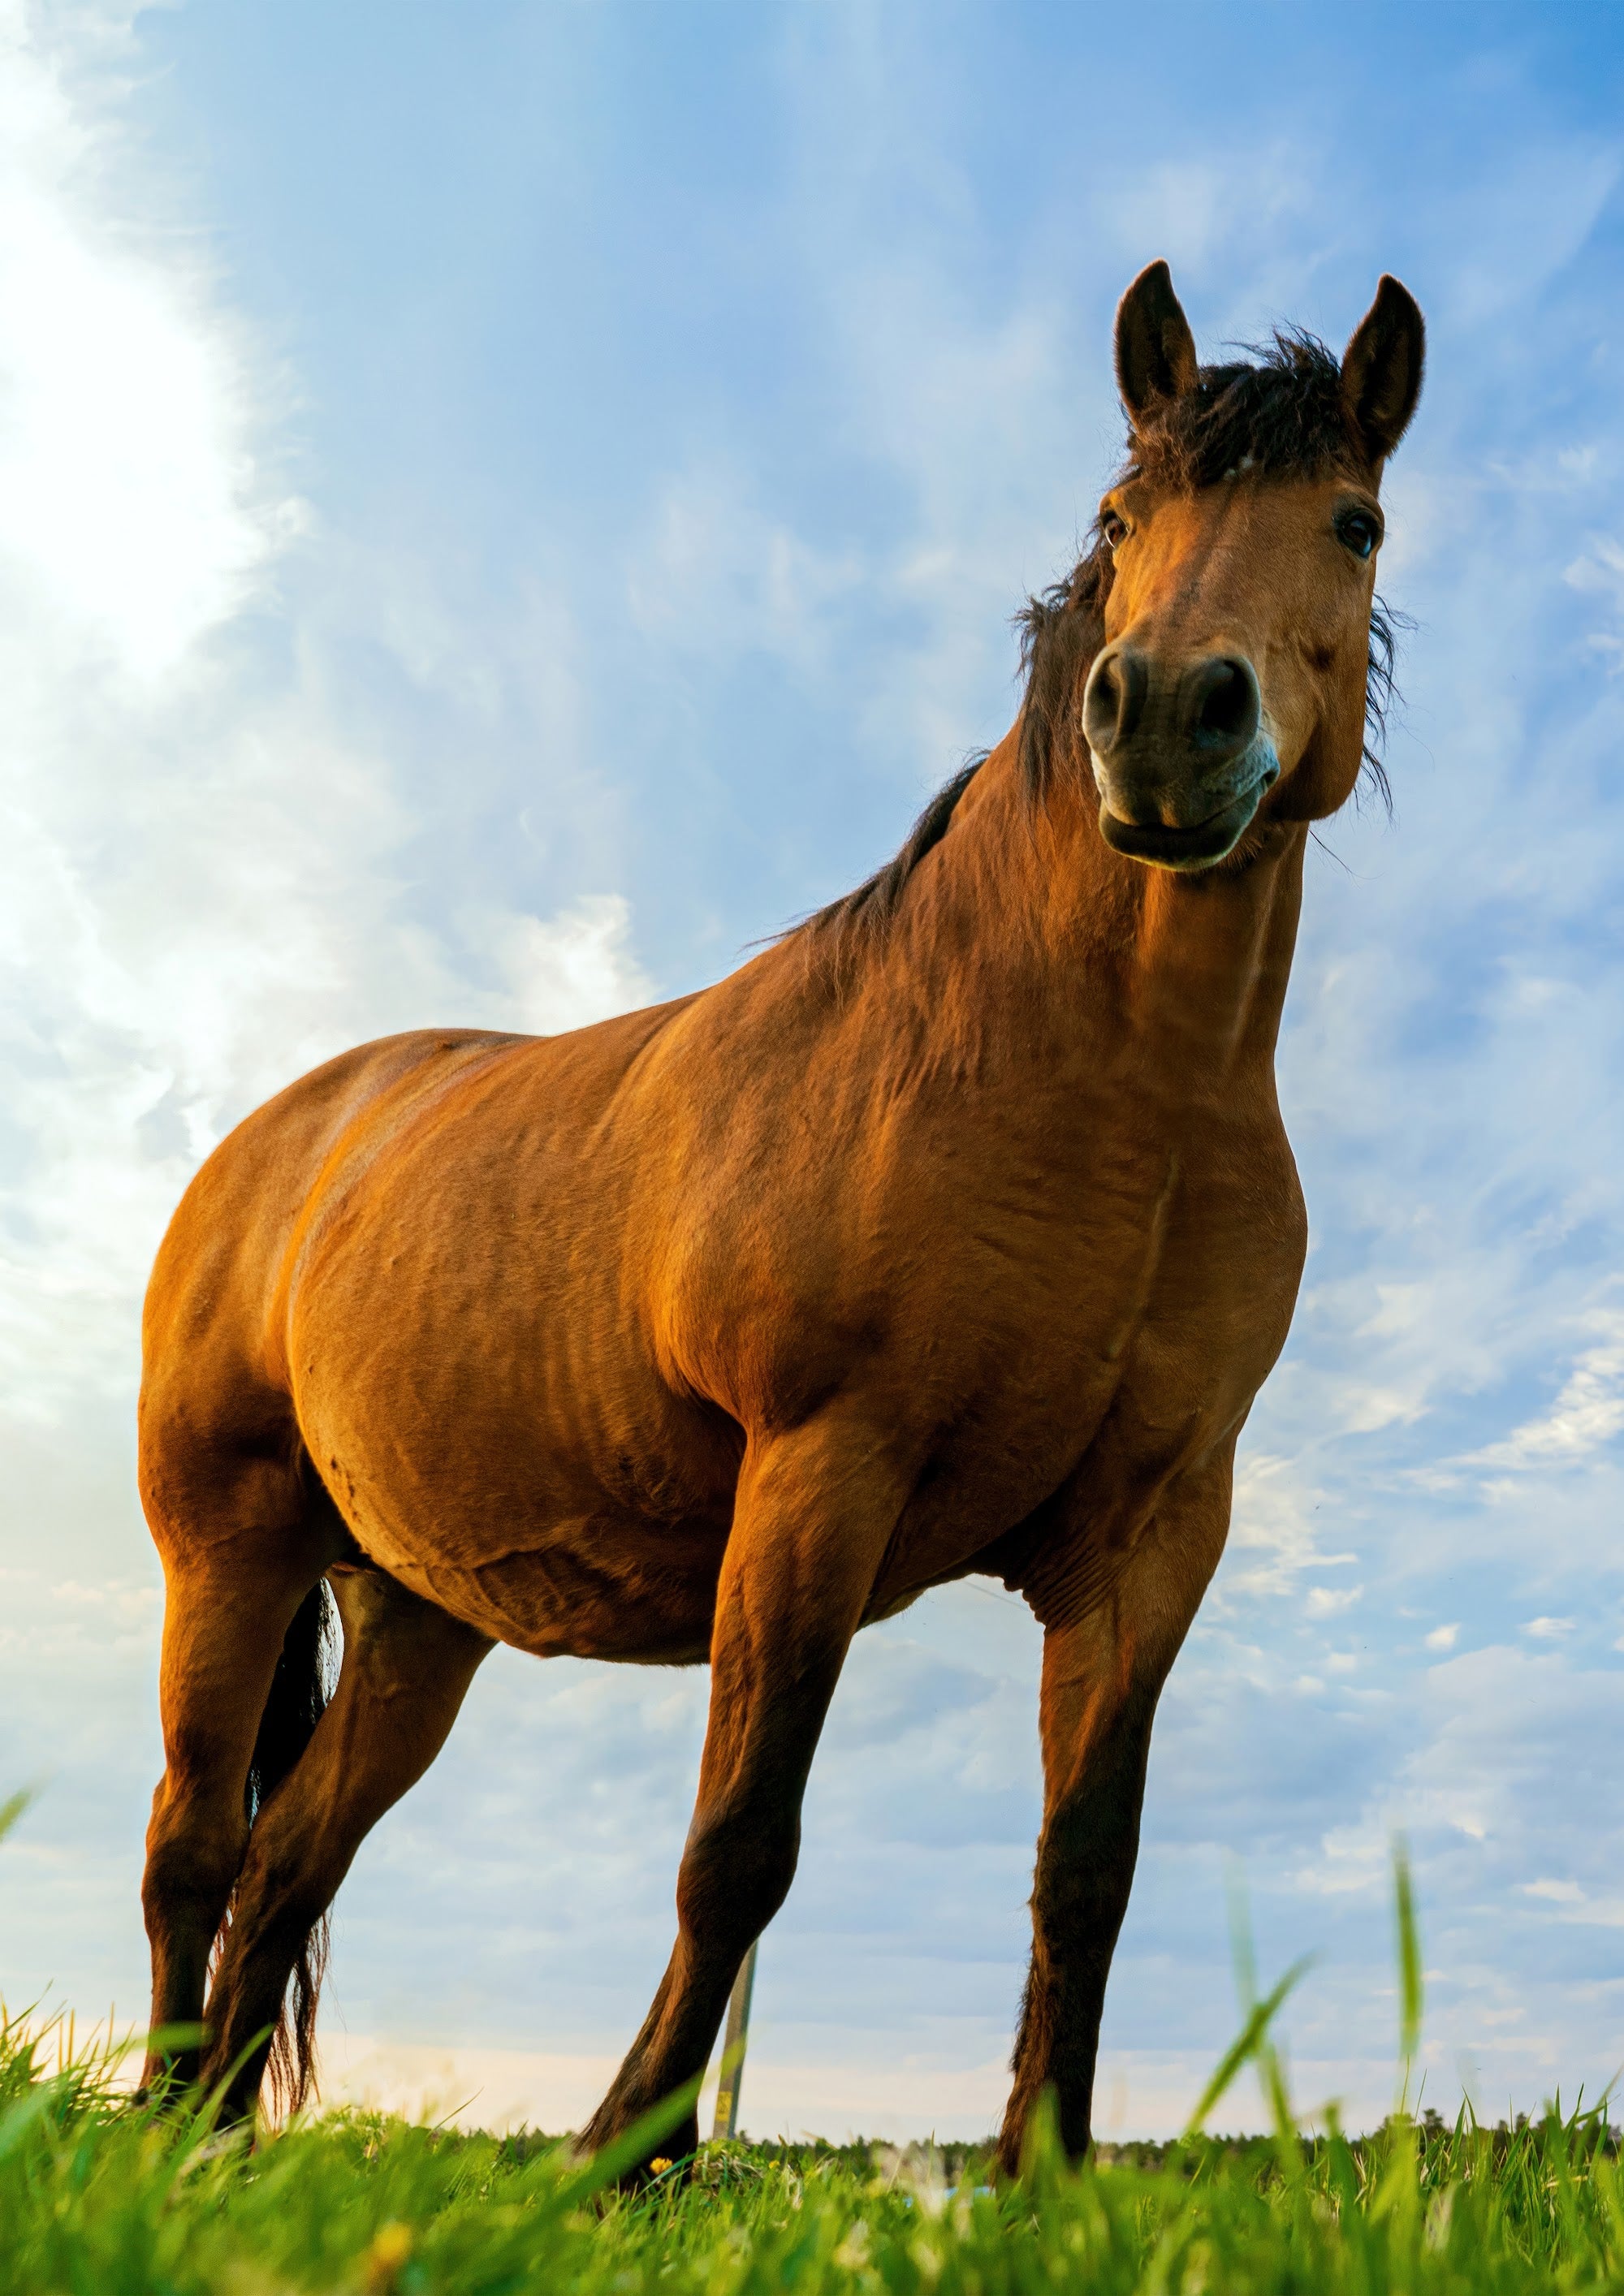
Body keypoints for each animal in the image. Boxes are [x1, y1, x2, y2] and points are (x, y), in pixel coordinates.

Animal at [136, 259, 1423, 2174]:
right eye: (1123, 515)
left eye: (1354, 520)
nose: (1167, 722)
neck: (1099, 1089)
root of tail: (284, 1133)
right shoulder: (824, 1469)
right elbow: (739, 1844)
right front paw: (623, 2158)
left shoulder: (1154, 1538)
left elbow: (1086, 1872)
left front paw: (1045, 2175)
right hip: (225, 1549)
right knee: (191, 1850)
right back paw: (149, 2124)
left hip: (418, 1618)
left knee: (288, 1863)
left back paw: (212, 2145)